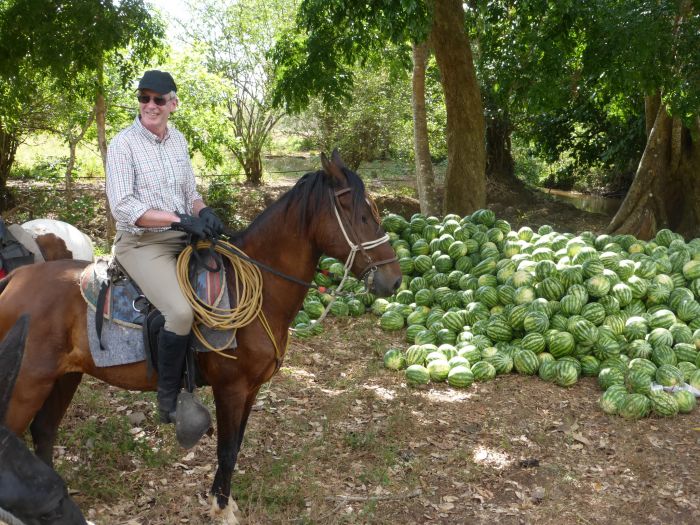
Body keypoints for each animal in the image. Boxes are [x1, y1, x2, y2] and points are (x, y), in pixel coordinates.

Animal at [0, 150, 400, 520]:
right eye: (362, 215)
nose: (394, 280)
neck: (256, 289)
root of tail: (15, 280)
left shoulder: (251, 390)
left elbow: (236, 446)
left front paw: (224, 501)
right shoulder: (231, 388)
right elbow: (226, 449)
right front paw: (221, 509)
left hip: (64, 377)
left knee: (44, 431)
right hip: (26, 385)